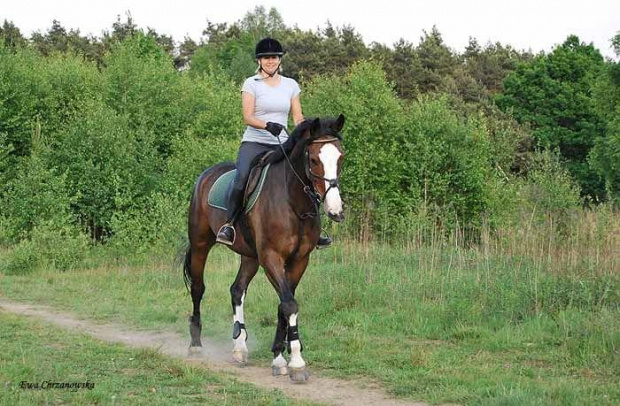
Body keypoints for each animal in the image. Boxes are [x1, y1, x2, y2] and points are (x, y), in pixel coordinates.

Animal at [182, 114, 346, 380]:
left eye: (340, 157)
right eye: (313, 159)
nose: (335, 211)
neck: (292, 203)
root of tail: (205, 175)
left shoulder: (299, 260)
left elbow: (284, 305)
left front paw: (279, 357)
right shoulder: (271, 257)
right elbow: (289, 303)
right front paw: (297, 362)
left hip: (250, 255)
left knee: (237, 290)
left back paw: (240, 347)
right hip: (200, 244)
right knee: (198, 288)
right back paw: (196, 345)